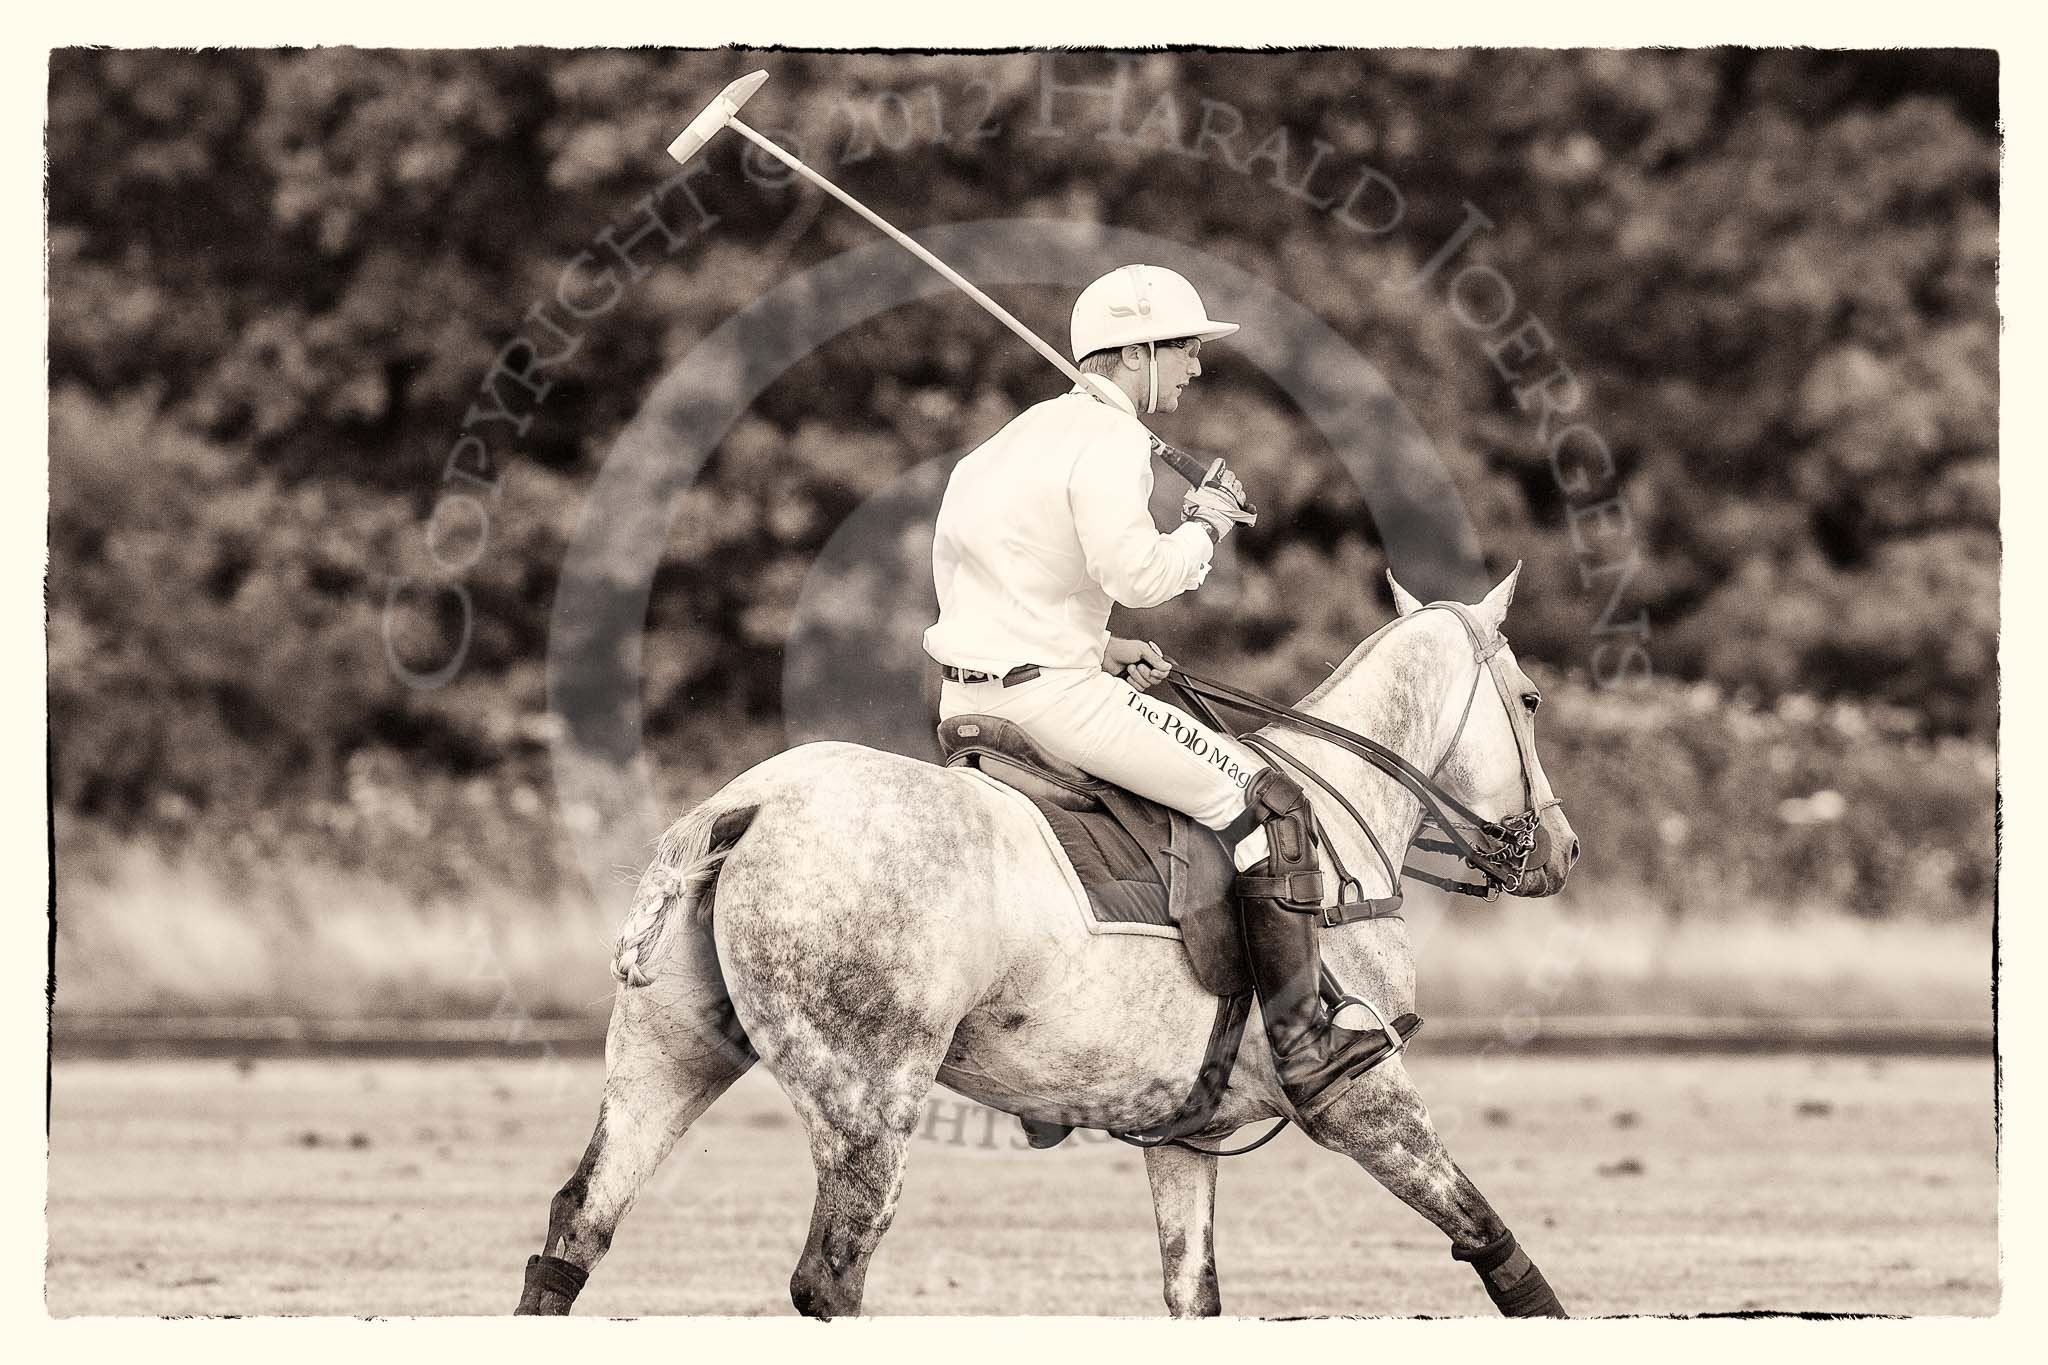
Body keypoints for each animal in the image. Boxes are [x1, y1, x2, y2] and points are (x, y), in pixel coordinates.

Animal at [516, 564, 1581, 1309]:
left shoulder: (1182, 1136)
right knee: (831, 1272)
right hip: (867, 1100)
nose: (1561, 851)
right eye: (1530, 699)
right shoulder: (1366, 1100)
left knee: (579, 1222)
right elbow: (1497, 1246)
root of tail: (750, 803)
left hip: (667, 1053)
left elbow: (1192, 1293)